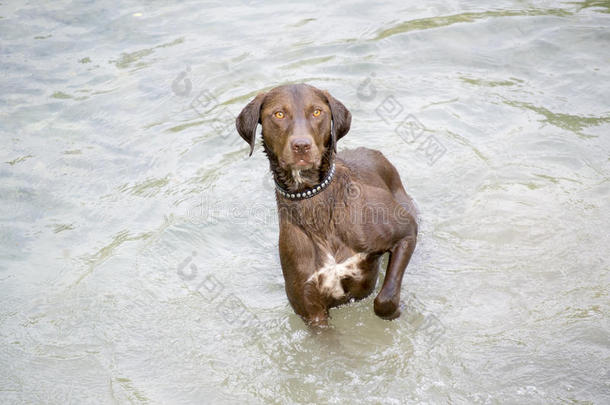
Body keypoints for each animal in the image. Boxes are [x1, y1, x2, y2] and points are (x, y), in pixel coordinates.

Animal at [235, 83, 416, 326]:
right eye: (279, 114)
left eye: (317, 112)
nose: (301, 146)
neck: (314, 202)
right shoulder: (312, 312)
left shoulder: (406, 233)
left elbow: (384, 299)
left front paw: (394, 311)